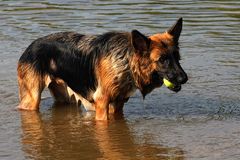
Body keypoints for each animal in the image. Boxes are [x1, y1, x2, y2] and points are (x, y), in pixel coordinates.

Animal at [17, 17, 188, 120]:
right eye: (162, 60)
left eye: (177, 57)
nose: (184, 79)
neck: (126, 60)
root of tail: (30, 46)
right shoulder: (102, 104)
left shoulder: (118, 105)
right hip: (32, 100)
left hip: (65, 98)